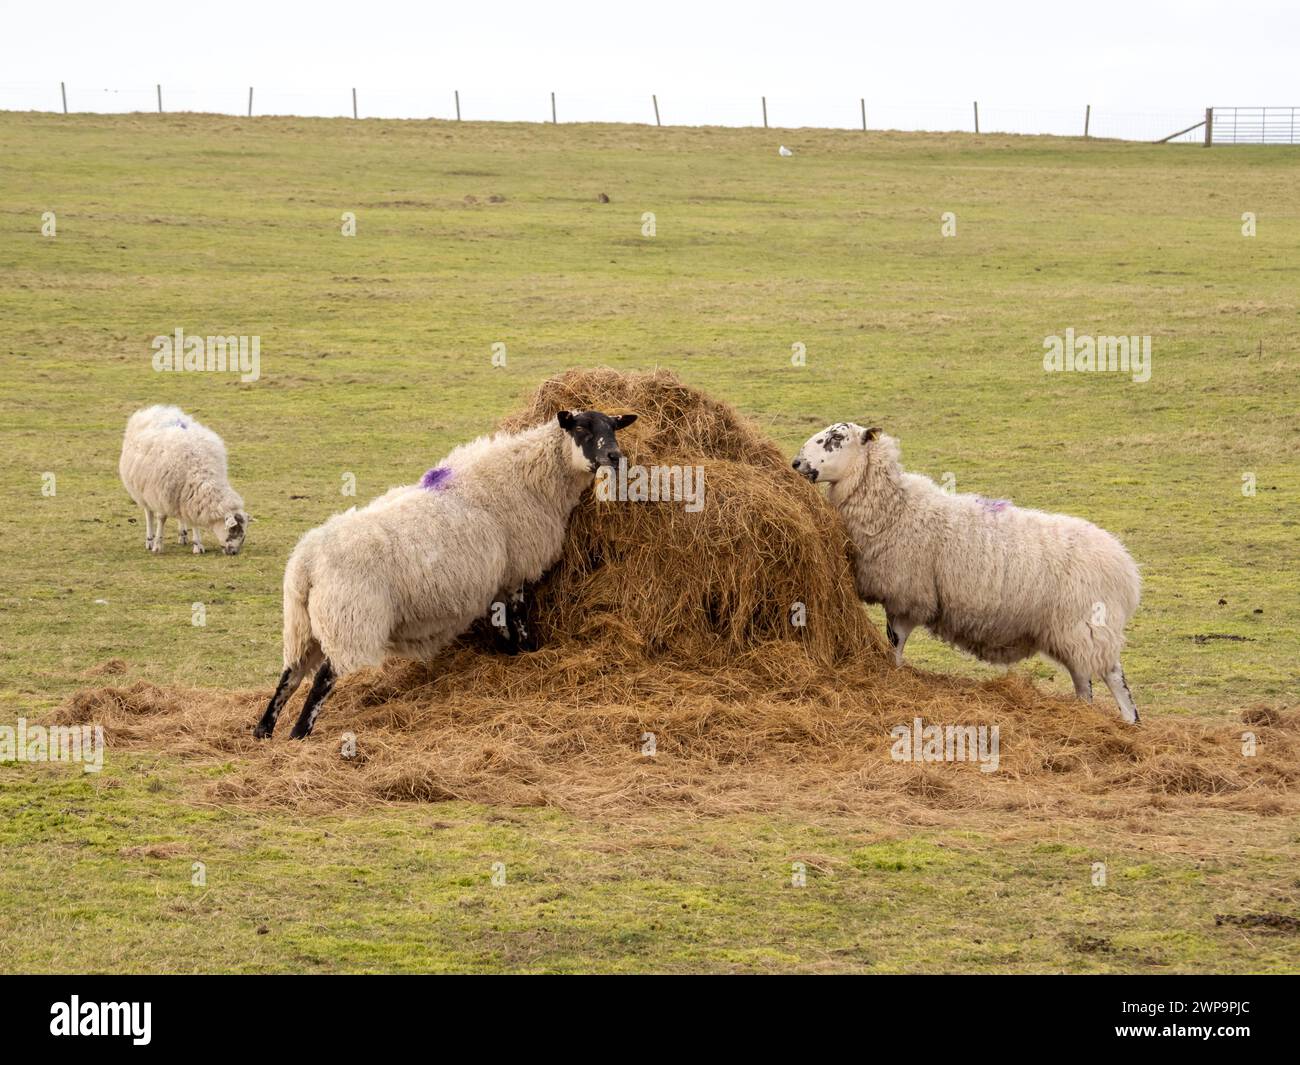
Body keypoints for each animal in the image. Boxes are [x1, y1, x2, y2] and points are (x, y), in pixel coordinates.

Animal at [119, 405, 248, 559]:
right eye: (233, 530)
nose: (234, 552)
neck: (199, 471)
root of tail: (155, 409)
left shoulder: (190, 496)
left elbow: (193, 519)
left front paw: (198, 545)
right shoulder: (161, 494)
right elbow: (161, 518)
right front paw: (158, 545)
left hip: (178, 495)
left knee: (181, 514)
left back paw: (183, 535)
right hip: (143, 489)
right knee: (148, 513)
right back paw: (150, 540)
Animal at [252, 408, 634, 743]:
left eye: (613, 426)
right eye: (582, 429)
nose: (614, 455)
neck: (531, 477)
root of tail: (306, 563)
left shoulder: (496, 580)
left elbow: (502, 626)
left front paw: (510, 655)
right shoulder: (516, 571)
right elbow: (519, 620)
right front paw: (528, 653)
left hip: (302, 624)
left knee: (290, 675)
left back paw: (263, 731)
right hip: (351, 618)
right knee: (322, 678)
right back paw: (299, 732)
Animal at [785, 423, 1144, 723]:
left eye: (835, 438)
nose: (796, 463)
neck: (895, 508)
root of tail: (1125, 567)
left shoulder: (907, 597)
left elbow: (895, 644)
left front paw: (894, 676)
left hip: (1087, 624)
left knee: (1114, 676)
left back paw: (1130, 721)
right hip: (1068, 631)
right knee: (1083, 677)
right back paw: (1083, 713)